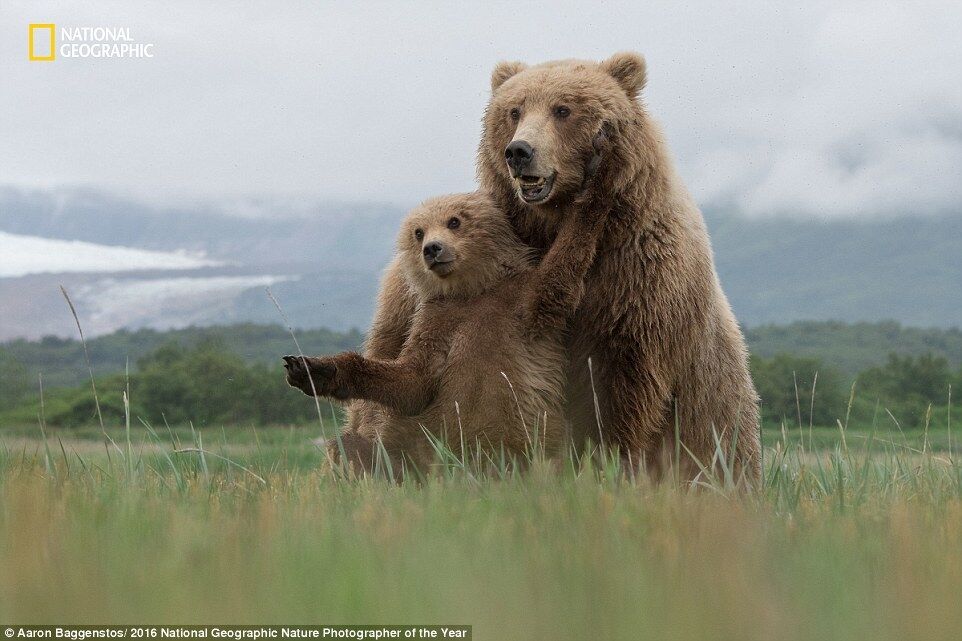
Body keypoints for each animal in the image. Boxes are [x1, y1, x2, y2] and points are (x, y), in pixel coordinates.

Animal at [344, 51, 756, 480]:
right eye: (514, 110)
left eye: (563, 109)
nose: (518, 151)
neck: (549, 224)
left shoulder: (637, 279)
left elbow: (620, 387)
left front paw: (609, 459)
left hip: (714, 407)